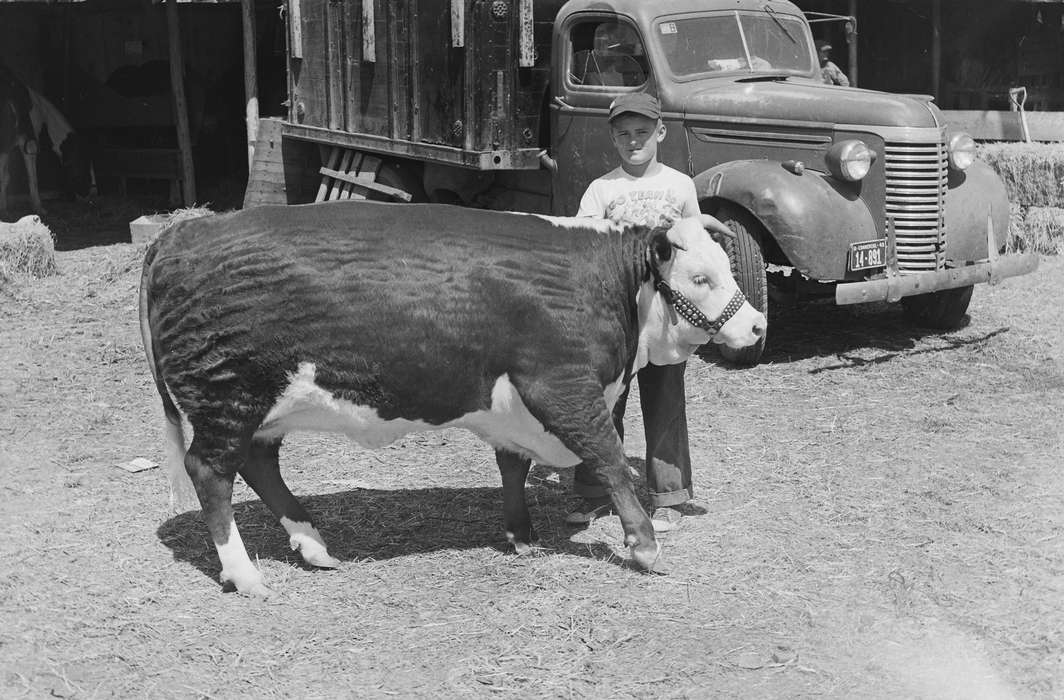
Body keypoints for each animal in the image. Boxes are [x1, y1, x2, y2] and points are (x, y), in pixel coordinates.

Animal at [0, 64, 93, 217]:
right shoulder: (26, 145)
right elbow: (32, 178)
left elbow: (6, 177)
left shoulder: (8, 148)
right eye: (82, 165)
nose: (88, 196)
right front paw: (38, 208)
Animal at [140, 200, 766, 596]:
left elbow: (513, 466)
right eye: (700, 277)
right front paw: (644, 546)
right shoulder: (564, 387)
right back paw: (246, 574)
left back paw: (312, 543)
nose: (758, 326)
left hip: (261, 408)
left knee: (258, 464)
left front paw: (520, 536)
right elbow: (610, 461)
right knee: (211, 474)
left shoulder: (513, 409)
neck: (607, 282)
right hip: (227, 401)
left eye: (725, 266)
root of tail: (180, 233)